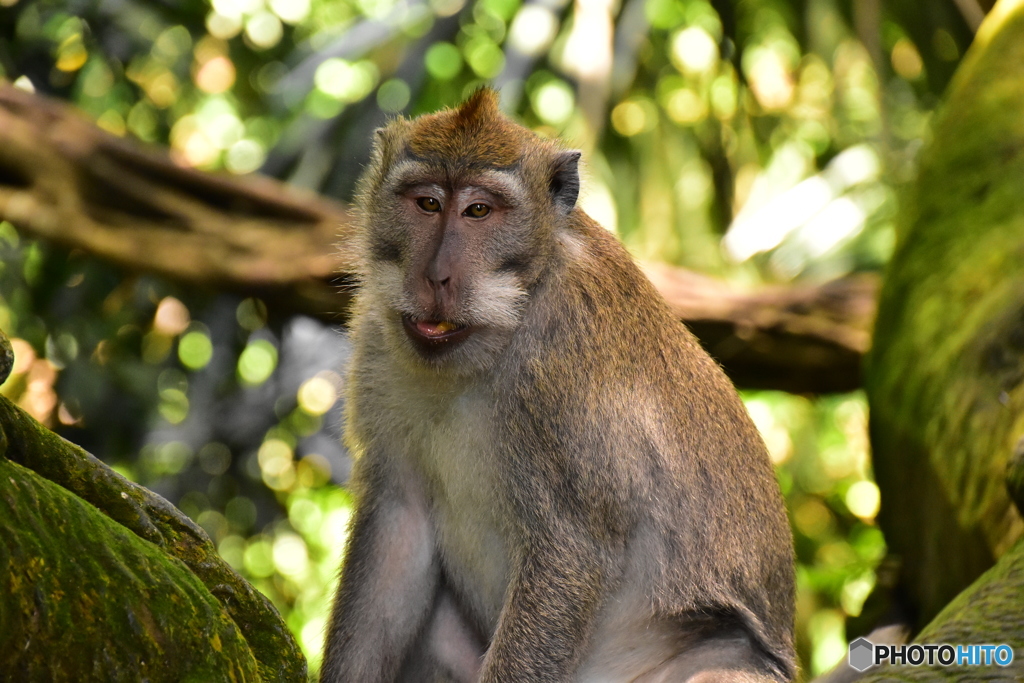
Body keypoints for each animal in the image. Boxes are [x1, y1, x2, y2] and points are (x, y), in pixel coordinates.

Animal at [323, 90, 794, 683]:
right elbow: (398, 528)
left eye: (479, 211)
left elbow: (570, 550)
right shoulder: (380, 342)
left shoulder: (562, 372)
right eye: (427, 203)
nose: (435, 276)